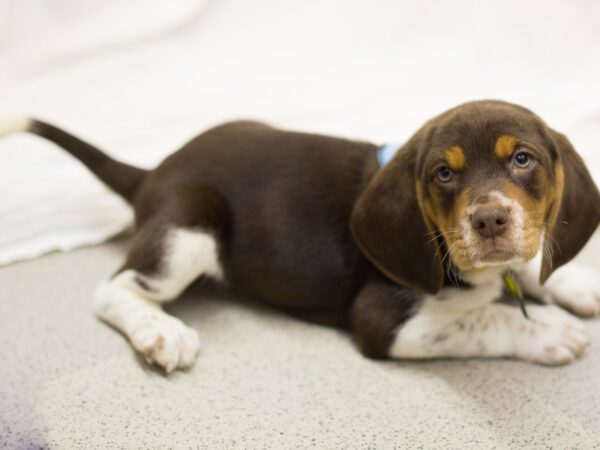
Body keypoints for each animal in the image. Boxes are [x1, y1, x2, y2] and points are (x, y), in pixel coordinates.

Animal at [1, 101, 600, 372]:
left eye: (522, 160)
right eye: (443, 174)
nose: (490, 220)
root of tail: (155, 170)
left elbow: (530, 268)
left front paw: (578, 285)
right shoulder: (385, 322)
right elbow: (488, 319)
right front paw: (550, 330)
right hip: (191, 228)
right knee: (115, 288)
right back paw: (160, 332)